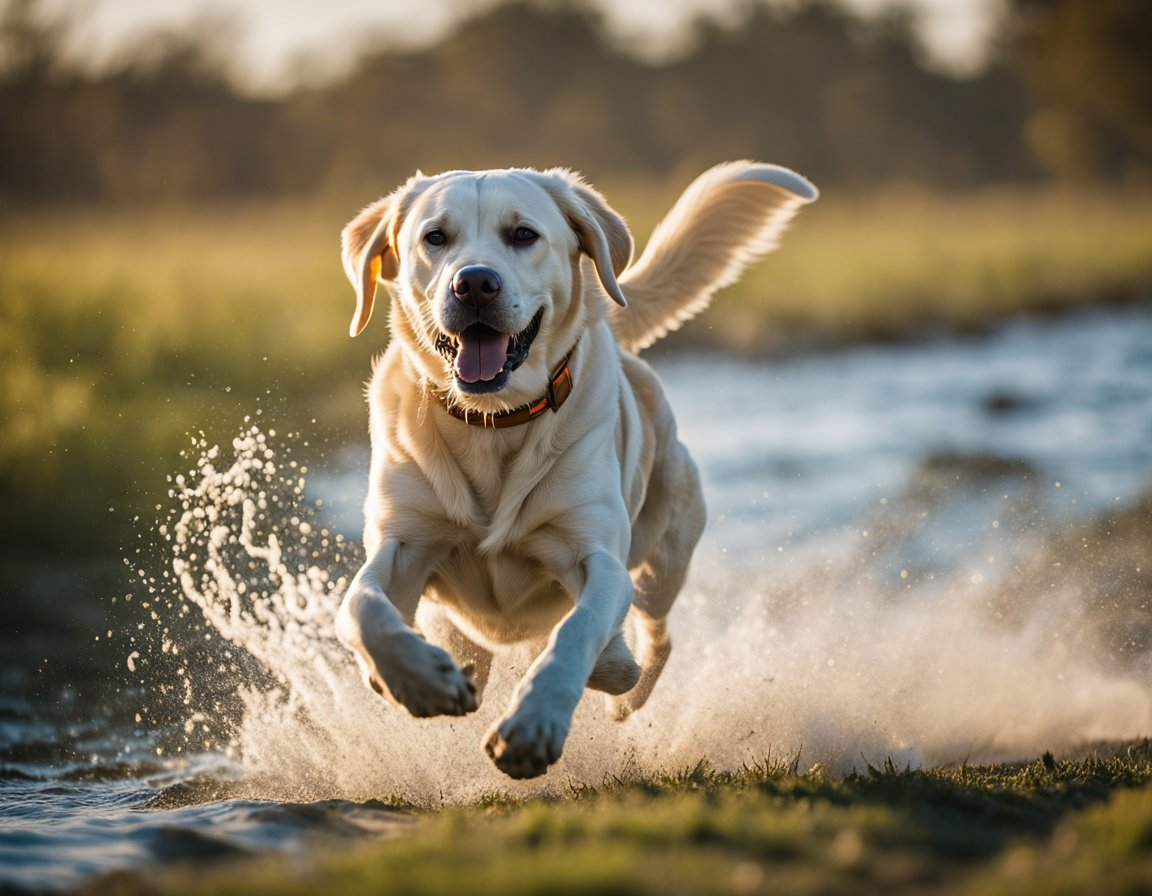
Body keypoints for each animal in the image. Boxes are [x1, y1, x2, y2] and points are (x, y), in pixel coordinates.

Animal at [336, 162, 820, 773]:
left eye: (523, 234)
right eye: (435, 237)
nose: (474, 283)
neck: (494, 422)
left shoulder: (598, 559)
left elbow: (576, 632)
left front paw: (536, 720)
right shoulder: (401, 545)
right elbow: (361, 608)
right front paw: (416, 679)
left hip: (663, 559)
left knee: (656, 638)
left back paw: (623, 684)